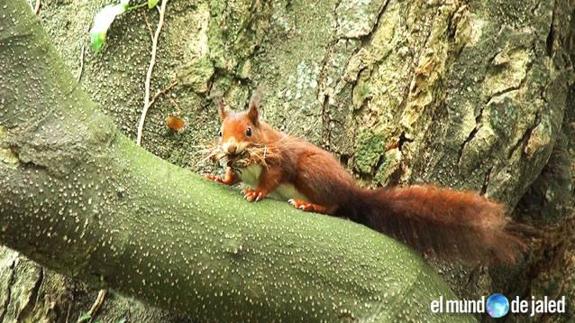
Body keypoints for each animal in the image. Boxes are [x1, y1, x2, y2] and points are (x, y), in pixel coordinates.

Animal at [207, 92, 528, 264]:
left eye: (248, 131)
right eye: (220, 132)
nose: (230, 149)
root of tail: (353, 191)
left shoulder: (278, 161)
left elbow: (271, 179)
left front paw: (257, 192)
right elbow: (232, 175)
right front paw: (219, 177)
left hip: (312, 174)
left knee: (335, 205)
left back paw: (311, 206)